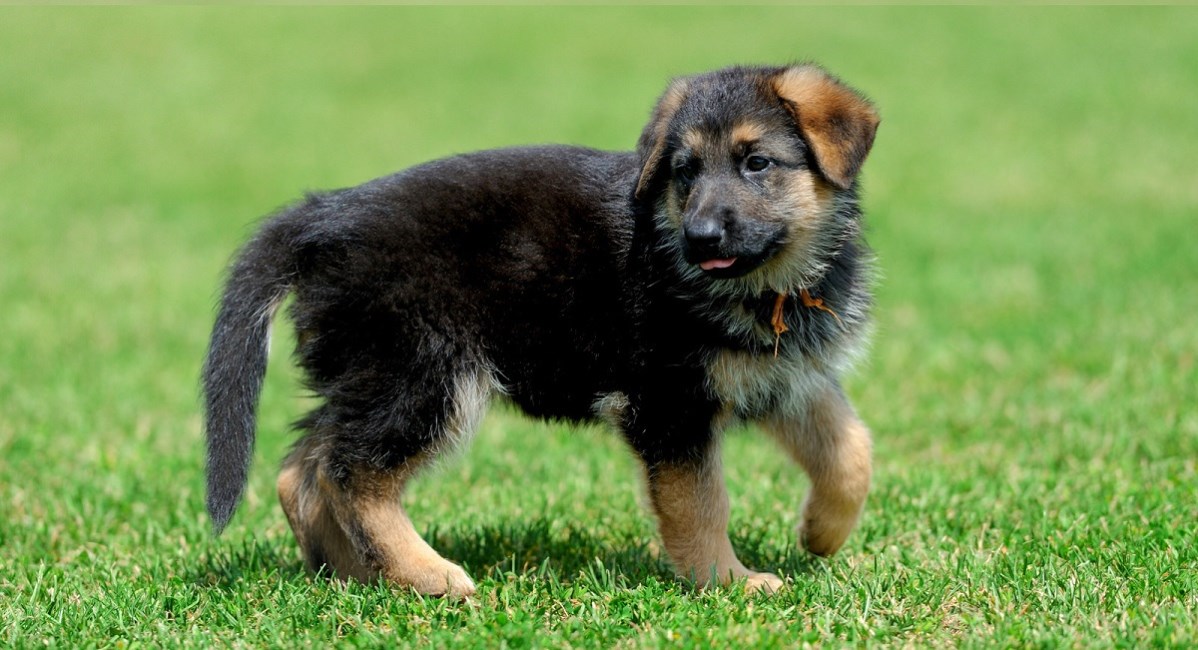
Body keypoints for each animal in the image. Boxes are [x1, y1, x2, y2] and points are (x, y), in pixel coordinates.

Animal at [203, 63, 881, 598]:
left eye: (757, 163)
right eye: (684, 172)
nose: (701, 238)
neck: (773, 288)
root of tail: (326, 215)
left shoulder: (786, 377)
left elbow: (851, 449)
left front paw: (821, 534)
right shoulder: (669, 405)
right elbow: (701, 504)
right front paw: (726, 582)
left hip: (368, 375)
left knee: (304, 471)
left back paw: (357, 577)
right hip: (425, 375)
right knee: (351, 475)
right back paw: (427, 574)